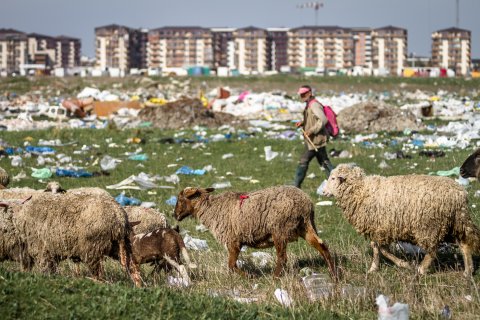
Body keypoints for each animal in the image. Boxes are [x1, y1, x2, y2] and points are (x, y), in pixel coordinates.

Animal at [10, 186, 142, 286]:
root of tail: (119, 217)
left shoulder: (42, 250)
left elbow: (46, 270)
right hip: (121, 245)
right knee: (132, 266)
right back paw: (139, 285)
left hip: (93, 248)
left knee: (98, 274)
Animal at [174, 186, 336, 278]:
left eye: (180, 200)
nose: (174, 215)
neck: (211, 209)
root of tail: (306, 203)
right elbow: (231, 265)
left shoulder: (233, 240)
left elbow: (231, 265)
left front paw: (248, 276)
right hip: (304, 228)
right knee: (323, 247)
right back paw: (333, 274)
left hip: (279, 229)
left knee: (282, 258)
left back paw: (275, 278)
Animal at [322, 164, 480, 276]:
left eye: (333, 178)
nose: (323, 192)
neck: (361, 190)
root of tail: (460, 194)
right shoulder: (377, 228)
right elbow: (376, 249)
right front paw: (373, 268)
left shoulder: (382, 228)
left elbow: (383, 250)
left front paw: (405, 265)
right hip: (454, 224)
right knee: (464, 245)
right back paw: (468, 272)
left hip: (430, 226)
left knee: (432, 250)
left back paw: (421, 269)